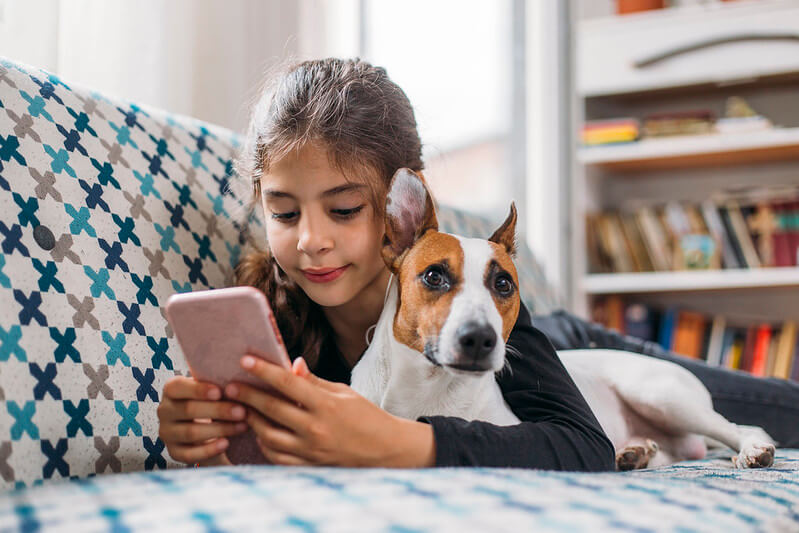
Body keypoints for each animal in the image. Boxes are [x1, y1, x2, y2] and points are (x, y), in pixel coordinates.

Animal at [350, 167, 776, 470]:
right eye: (434, 276)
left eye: (503, 284)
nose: (480, 339)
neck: (431, 389)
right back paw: (635, 453)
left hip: (661, 396)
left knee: (739, 426)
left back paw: (752, 448)